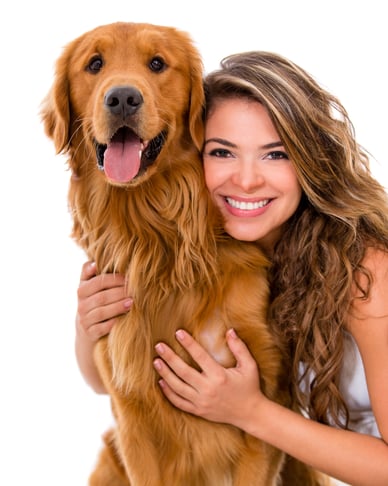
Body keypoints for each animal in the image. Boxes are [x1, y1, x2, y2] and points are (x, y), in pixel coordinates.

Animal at [41, 21, 328, 486]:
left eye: (158, 64)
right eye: (94, 64)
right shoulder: (132, 418)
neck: (159, 240)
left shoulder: (264, 403)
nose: (122, 97)